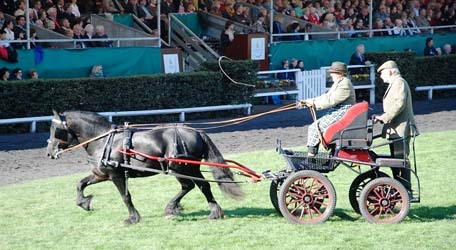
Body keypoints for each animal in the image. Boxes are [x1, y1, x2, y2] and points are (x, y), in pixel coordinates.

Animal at [46, 111, 244, 225]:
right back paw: (203, 211)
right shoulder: (101, 174)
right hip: (187, 168)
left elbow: (125, 196)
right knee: (198, 186)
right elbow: (80, 184)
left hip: (180, 168)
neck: (104, 140)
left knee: (194, 185)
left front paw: (133, 218)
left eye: (55, 130)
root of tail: (196, 132)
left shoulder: (116, 175)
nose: (49, 153)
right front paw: (84, 203)